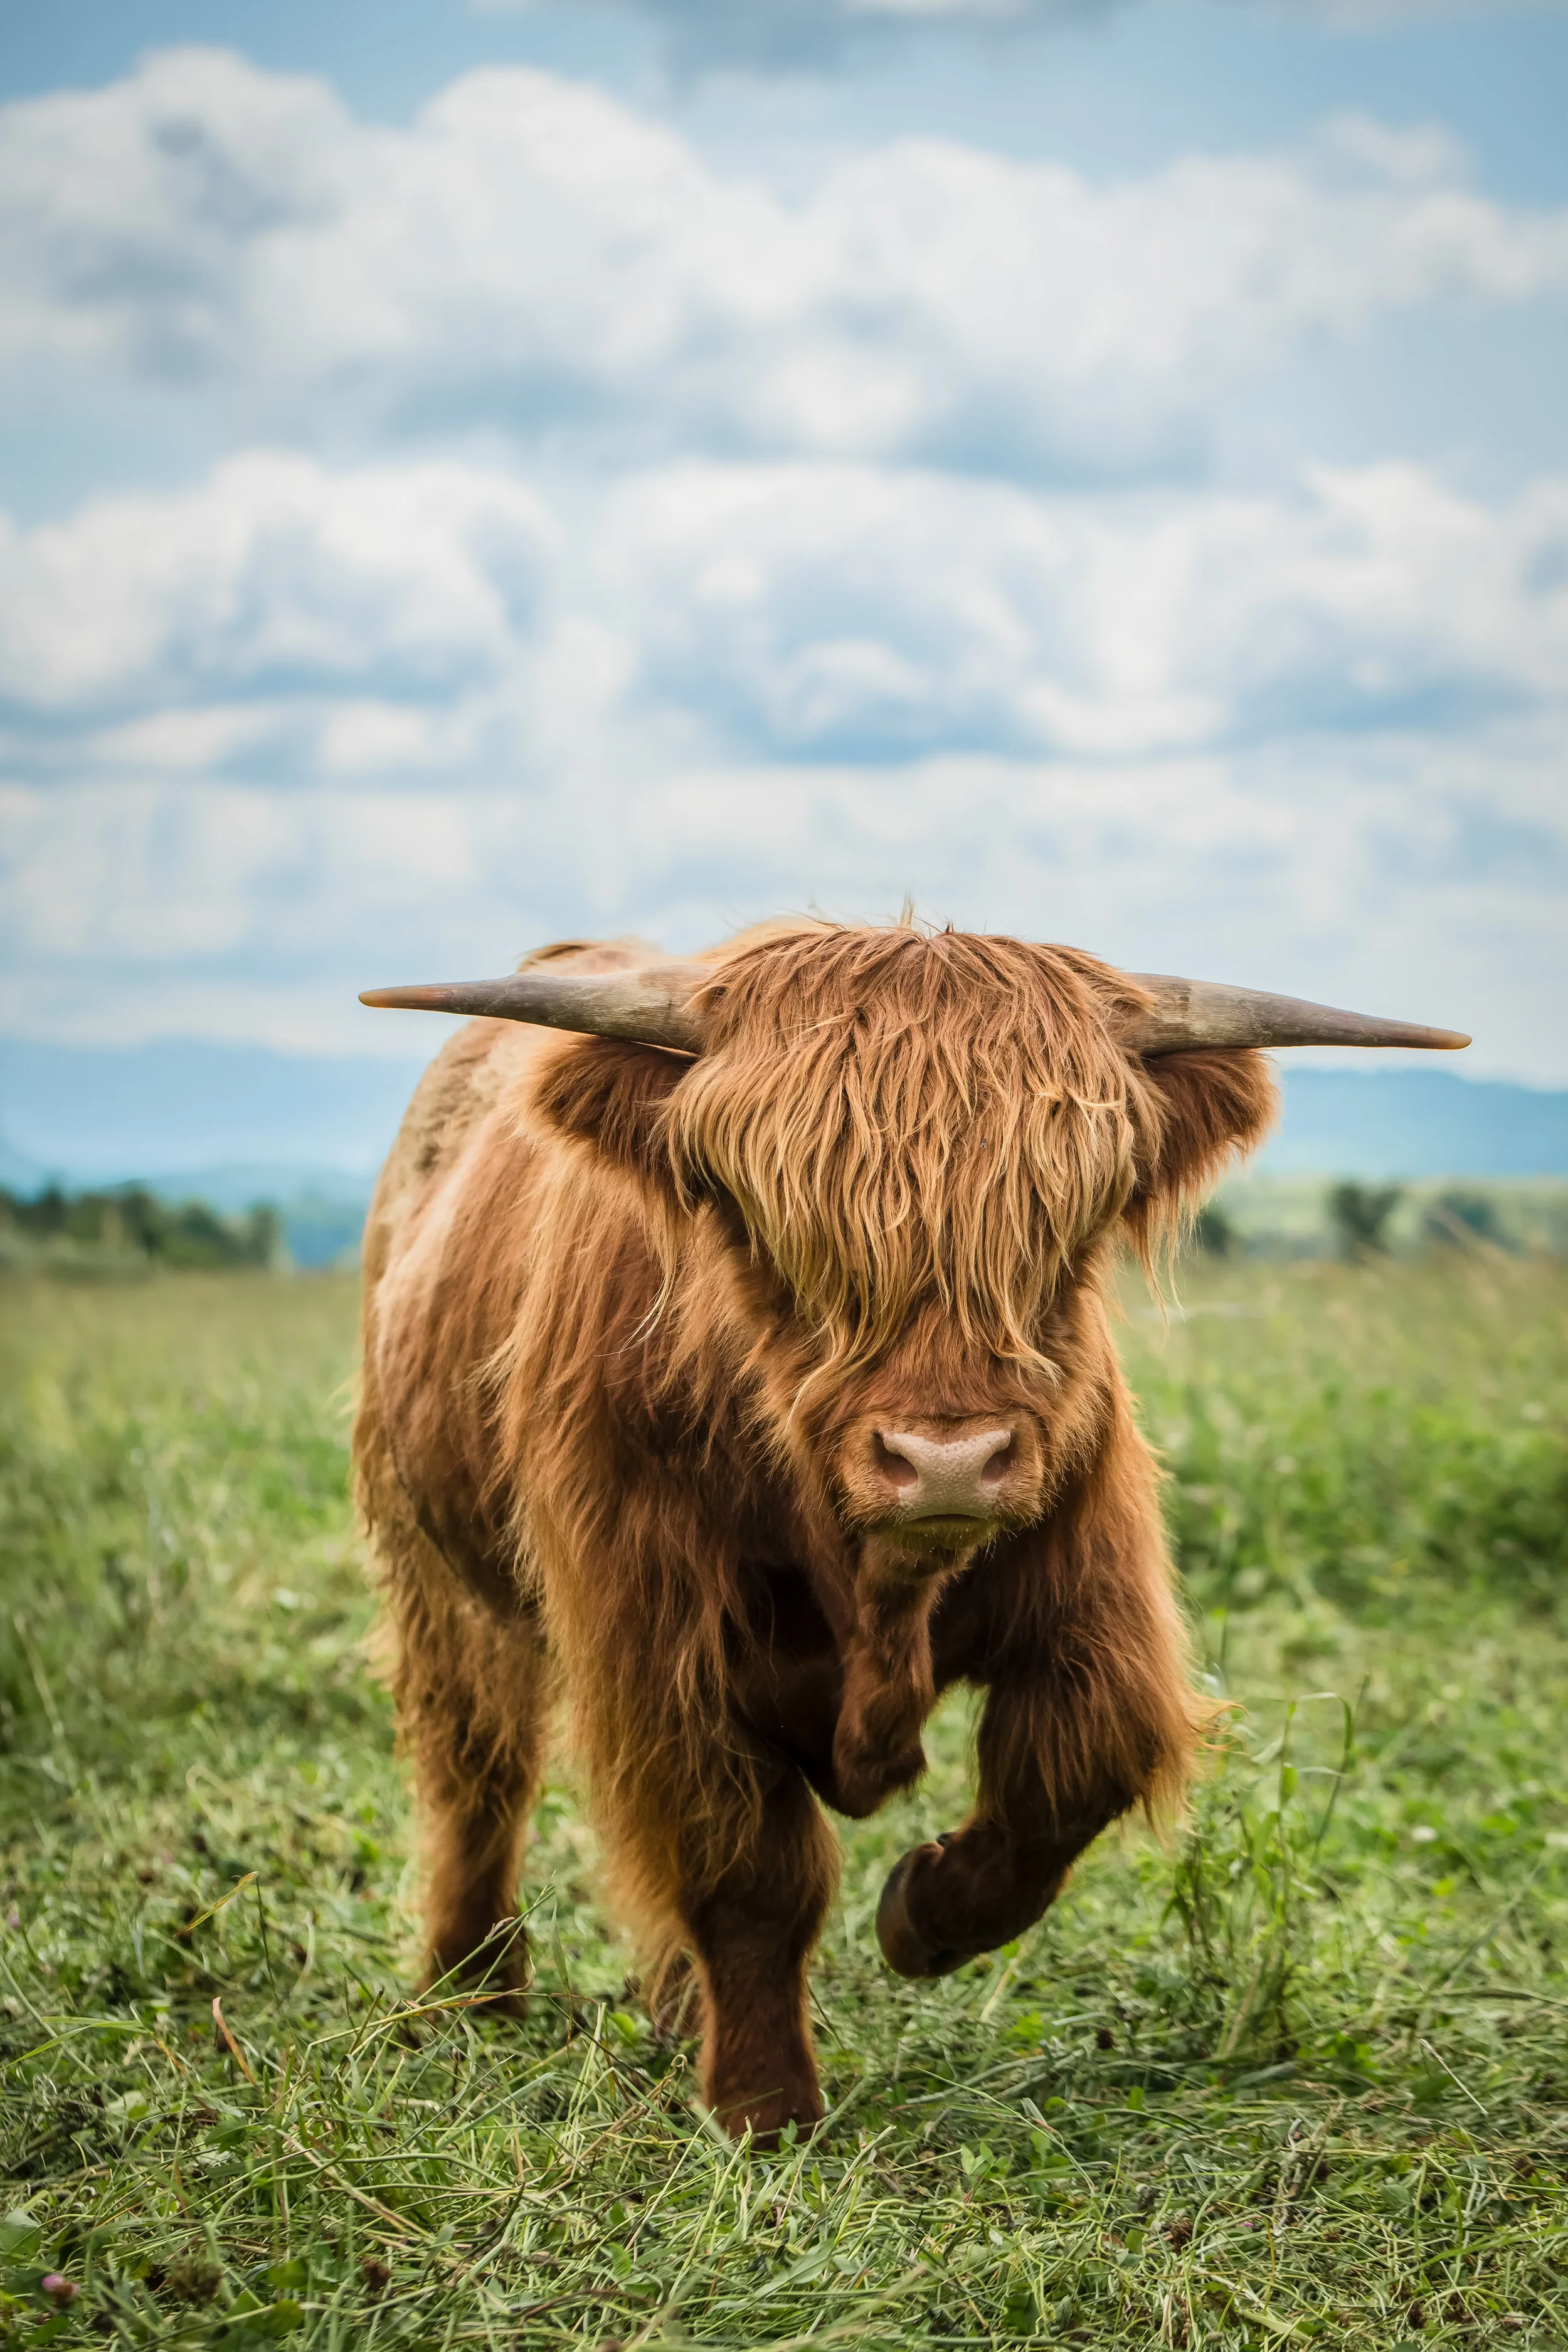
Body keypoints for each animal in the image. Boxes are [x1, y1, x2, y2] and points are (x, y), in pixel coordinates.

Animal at [353, 919, 1465, 2142]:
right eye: (770, 1224)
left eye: (1065, 1229)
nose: (948, 1462)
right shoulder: (657, 1643)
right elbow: (746, 1866)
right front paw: (764, 2105)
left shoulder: (1094, 1584)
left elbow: (1076, 1767)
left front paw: (922, 1915)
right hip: (435, 1568)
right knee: (476, 1773)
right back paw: (469, 1992)